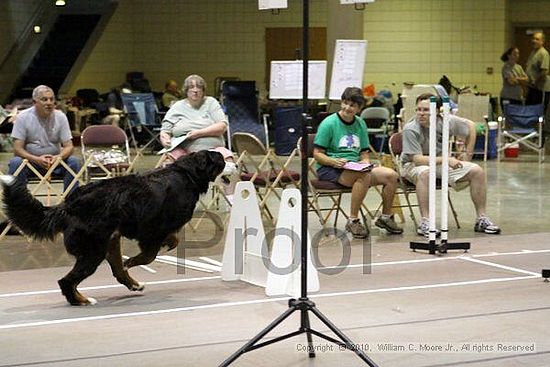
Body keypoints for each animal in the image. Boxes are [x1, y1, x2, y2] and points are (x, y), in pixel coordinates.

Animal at [0, 151, 229, 306]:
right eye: (220, 160)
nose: (230, 159)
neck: (186, 174)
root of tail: (69, 204)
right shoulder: (152, 230)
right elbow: (150, 255)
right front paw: (134, 261)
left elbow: (171, 241)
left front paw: (164, 246)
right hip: (94, 250)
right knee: (66, 281)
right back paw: (82, 300)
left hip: (110, 240)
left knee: (116, 270)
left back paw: (132, 283)